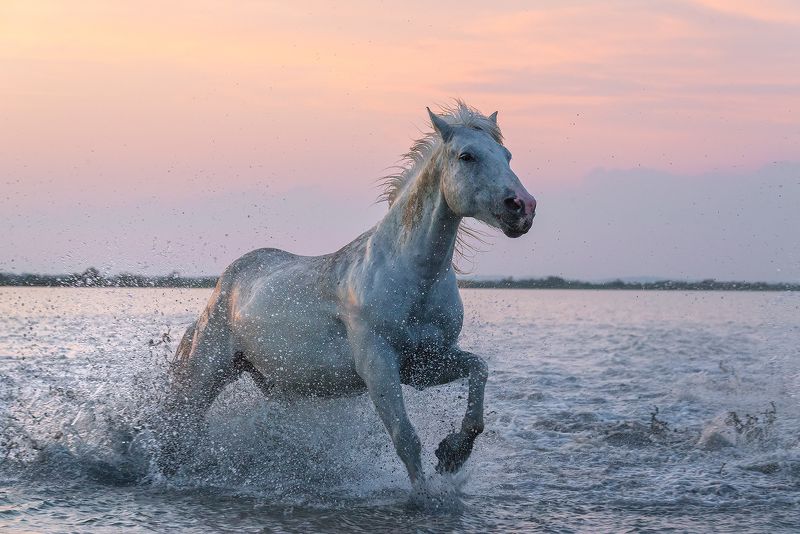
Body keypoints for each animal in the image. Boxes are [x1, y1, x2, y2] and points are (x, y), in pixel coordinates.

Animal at [163, 102, 537, 486]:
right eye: (467, 156)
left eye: (507, 155)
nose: (522, 207)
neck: (414, 278)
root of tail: (226, 284)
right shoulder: (378, 363)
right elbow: (406, 438)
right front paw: (424, 492)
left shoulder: (423, 364)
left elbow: (479, 373)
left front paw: (452, 454)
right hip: (207, 371)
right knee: (182, 424)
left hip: (277, 384)